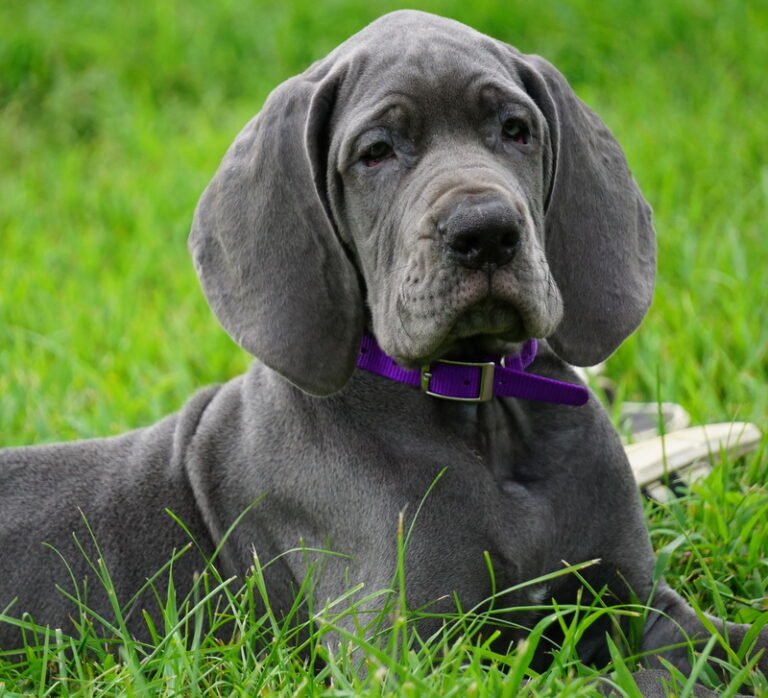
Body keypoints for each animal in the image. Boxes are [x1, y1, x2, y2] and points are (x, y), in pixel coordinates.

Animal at [0, 9, 764, 692]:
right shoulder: (417, 654)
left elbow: (727, 643)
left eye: (516, 131)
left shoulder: (636, 600)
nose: (486, 231)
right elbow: (627, 683)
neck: (482, 407)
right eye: (376, 152)